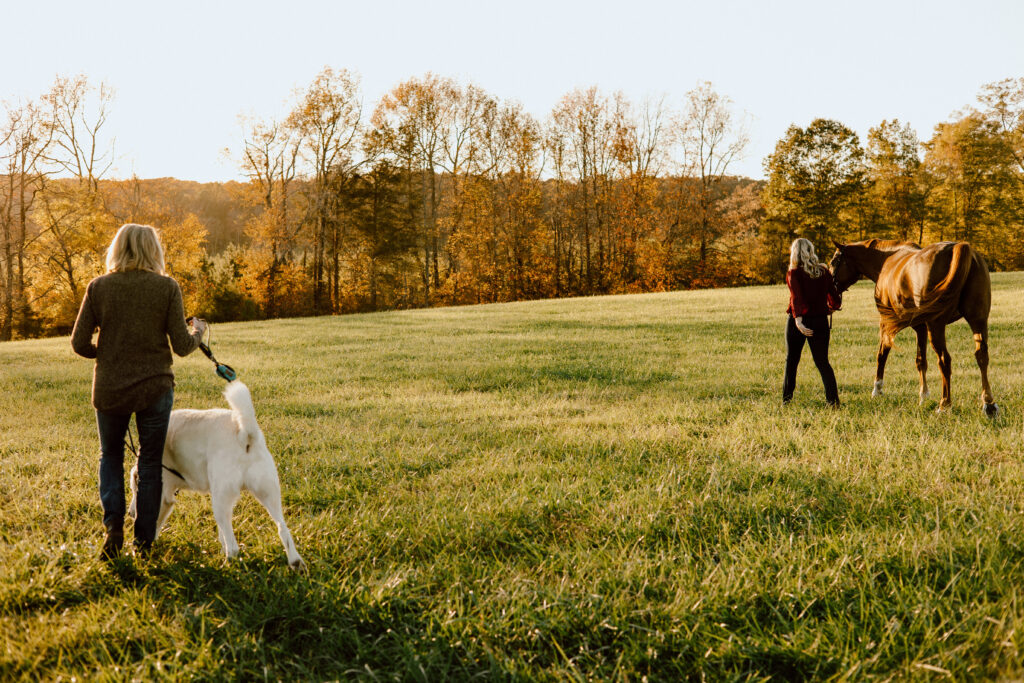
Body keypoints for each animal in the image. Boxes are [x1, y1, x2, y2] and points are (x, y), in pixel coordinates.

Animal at [129, 382, 303, 569]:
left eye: (133, 490)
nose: (130, 514)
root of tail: (245, 434)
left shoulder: (164, 498)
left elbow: (154, 525)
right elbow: (222, 535)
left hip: (221, 503)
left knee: (234, 548)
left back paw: (226, 565)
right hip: (267, 495)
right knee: (283, 529)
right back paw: (295, 562)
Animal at [827, 237, 995, 413]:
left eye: (834, 262)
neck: (885, 261)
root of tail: (957, 247)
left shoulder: (886, 323)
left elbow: (882, 355)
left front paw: (877, 390)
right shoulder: (921, 327)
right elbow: (921, 361)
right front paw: (923, 396)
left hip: (936, 325)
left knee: (944, 360)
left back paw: (945, 404)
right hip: (978, 320)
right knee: (981, 356)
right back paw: (988, 404)